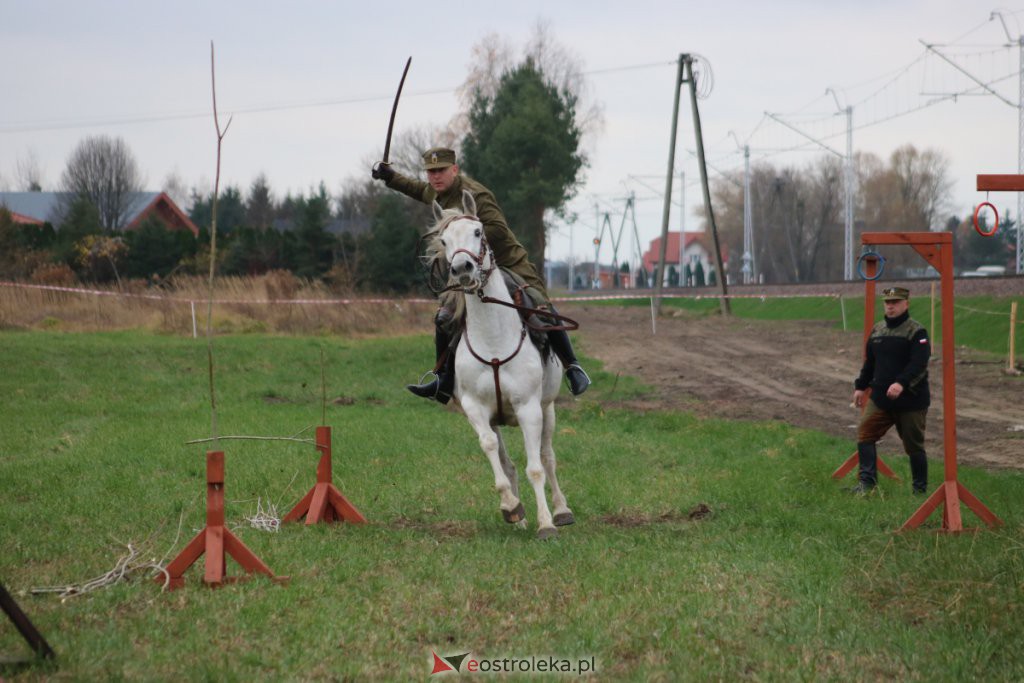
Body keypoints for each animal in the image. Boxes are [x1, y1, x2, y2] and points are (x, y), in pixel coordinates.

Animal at [425, 191, 577, 540]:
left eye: (478, 231)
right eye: (444, 240)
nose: (462, 268)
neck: (494, 340)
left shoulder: (529, 408)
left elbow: (536, 466)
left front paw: (546, 523)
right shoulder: (475, 409)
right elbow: (491, 448)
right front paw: (511, 507)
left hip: (547, 408)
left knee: (548, 458)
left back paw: (562, 510)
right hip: (498, 417)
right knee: (507, 461)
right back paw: (519, 517)